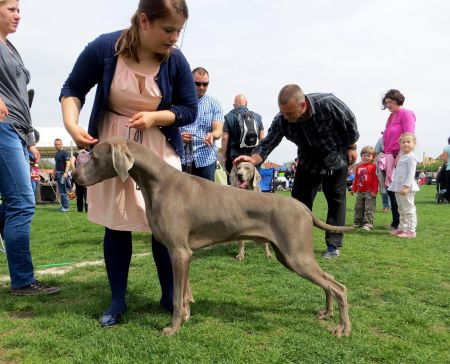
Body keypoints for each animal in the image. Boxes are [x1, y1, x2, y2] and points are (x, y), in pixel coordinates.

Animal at [72, 137, 352, 338]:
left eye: (94, 156)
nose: (74, 176)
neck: (158, 182)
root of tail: (304, 207)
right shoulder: (181, 253)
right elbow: (184, 293)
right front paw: (186, 316)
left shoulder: (179, 252)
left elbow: (177, 297)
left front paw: (173, 329)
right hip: (290, 255)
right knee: (329, 281)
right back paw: (326, 313)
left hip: (296, 255)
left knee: (339, 287)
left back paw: (343, 328)